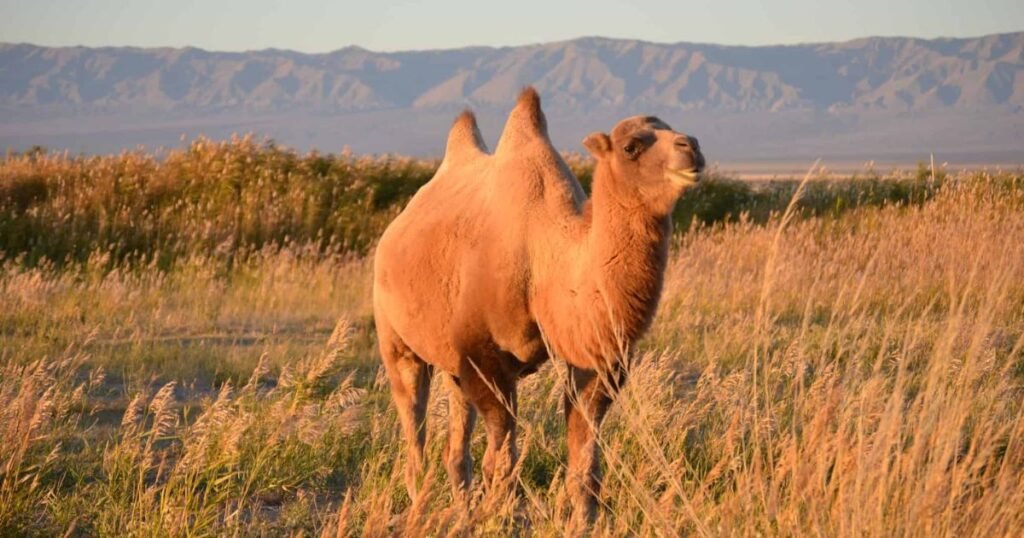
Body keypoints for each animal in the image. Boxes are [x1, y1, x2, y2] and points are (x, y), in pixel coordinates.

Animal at [372, 86, 704, 520]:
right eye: (632, 146)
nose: (692, 146)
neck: (545, 260)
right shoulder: (483, 354)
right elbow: (502, 454)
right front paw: (499, 516)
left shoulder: (595, 357)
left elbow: (584, 454)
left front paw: (584, 520)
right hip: (396, 340)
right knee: (414, 424)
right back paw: (422, 507)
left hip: (452, 364)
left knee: (456, 441)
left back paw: (461, 509)